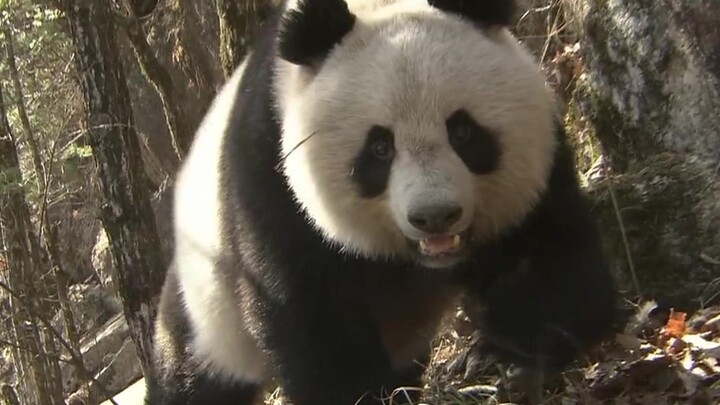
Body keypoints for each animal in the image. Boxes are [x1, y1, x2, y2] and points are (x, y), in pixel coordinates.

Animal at [145, 0, 620, 402]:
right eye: (379, 148)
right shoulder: (271, 183)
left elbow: (550, 257)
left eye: (463, 132)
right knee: (193, 377)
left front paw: (502, 356)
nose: (435, 217)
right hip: (209, 305)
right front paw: (356, 394)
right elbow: (313, 315)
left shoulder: (535, 171)